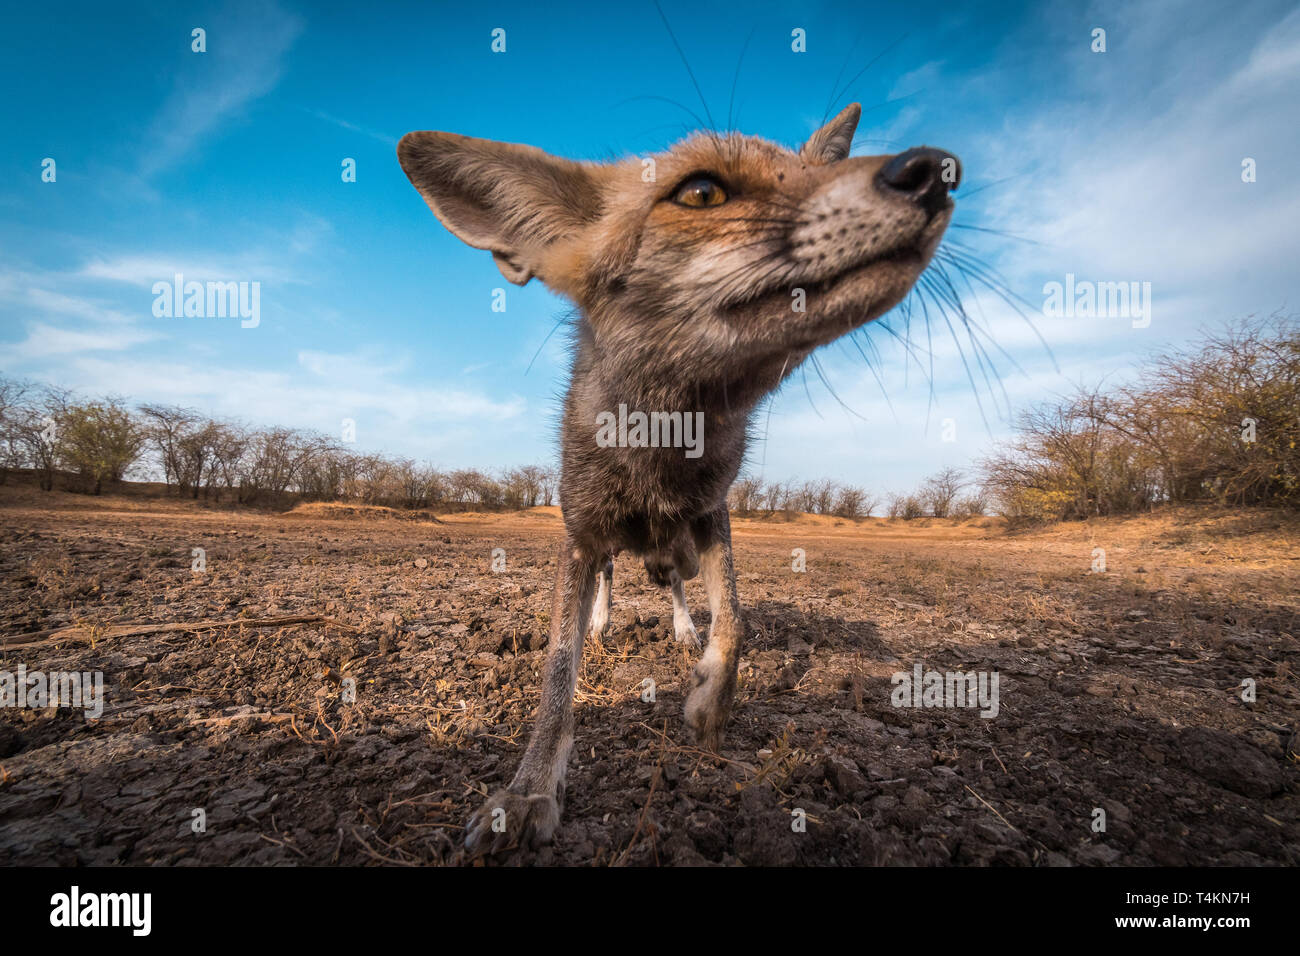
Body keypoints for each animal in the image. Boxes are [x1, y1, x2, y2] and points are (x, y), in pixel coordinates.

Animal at [400, 102, 961, 853]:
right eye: (701, 193)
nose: (933, 170)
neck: (662, 449)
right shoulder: (581, 535)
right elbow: (556, 675)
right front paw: (528, 790)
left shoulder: (711, 516)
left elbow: (737, 621)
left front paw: (709, 705)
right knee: (615, 578)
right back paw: (607, 622)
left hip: (678, 551)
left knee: (679, 587)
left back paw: (683, 631)